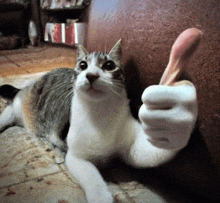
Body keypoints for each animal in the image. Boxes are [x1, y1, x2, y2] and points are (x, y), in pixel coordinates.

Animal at [0, 39, 196, 203]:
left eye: (109, 65)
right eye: (83, 65)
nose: (91, 75)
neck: (100, 114)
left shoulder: (132, 147)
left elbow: (150, 150)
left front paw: (175, 115)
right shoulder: (75, 156)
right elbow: (91, 176)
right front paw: (101, 196)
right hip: (25, 105)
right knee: (10, 108)